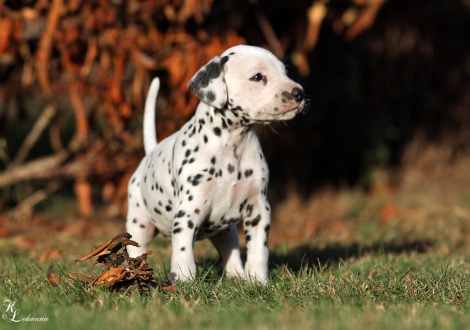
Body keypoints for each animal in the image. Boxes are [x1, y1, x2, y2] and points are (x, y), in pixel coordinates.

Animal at [126, 44, 306, 284]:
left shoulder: (258, 209)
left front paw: (257, 280)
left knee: (231, 252)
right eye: (258, 77)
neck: (232, 146)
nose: (299, 93)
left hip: (226, 232)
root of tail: (149, 154)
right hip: (139, 224)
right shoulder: (187, 212)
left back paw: (237, 276)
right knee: (136, 250)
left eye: (284, 72)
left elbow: (259, 249)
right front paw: (183, 280)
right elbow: (183, 251)